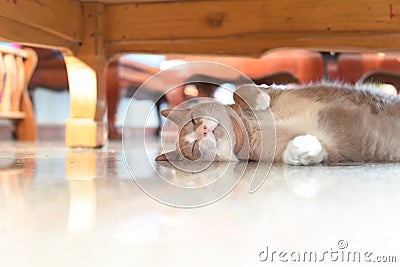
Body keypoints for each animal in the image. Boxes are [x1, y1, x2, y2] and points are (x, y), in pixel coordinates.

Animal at [155, 82, 400, 165]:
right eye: (194, 148)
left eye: (194, 121)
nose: (203, 131)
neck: (248, 129)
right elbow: (302, 153)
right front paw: (304, 147)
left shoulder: (279, 90)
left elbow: (240, 90)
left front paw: (258, 100)